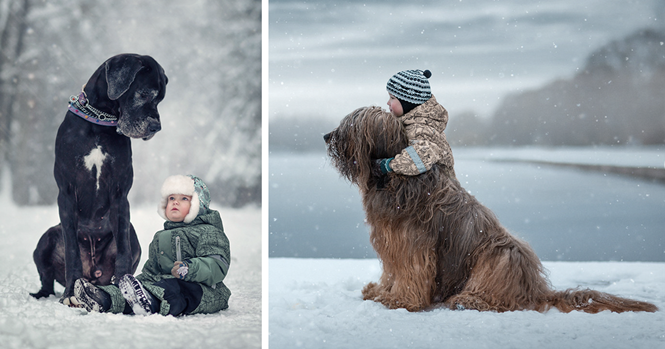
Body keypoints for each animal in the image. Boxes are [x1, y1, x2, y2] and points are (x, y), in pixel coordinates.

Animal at [324, 106, 656, 312]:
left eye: (350, 125)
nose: (327, 136)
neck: (392, 177)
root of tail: (536, 289)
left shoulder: (411, 243)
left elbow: (410, 273)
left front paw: (400, 301)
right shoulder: (391, 241)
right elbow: (391, 272)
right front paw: (380, 292)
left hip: (500, 253)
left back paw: (470, 299)